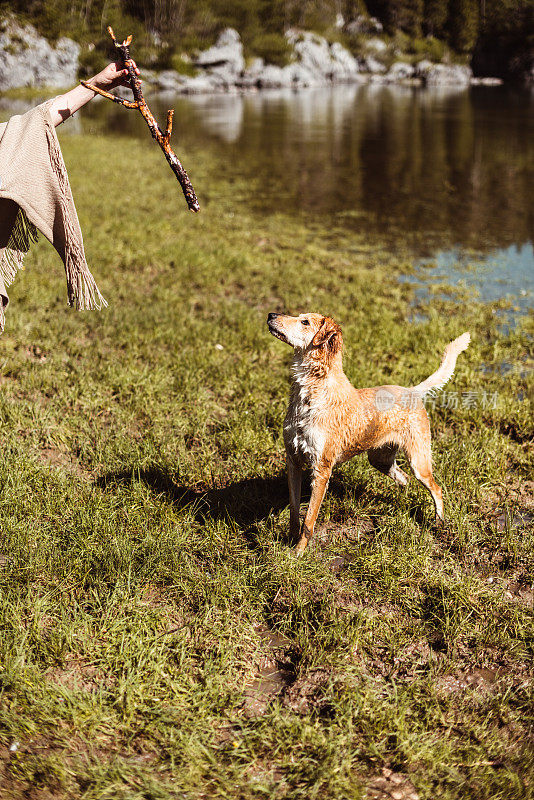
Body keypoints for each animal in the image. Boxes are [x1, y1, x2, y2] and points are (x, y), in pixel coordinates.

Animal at [270, 310, 472, 552]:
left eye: (304, 322)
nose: (271, 314)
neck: (311, 393)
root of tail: (413, 391)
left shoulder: (322, 469)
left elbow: (309, 520)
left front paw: (299, 552)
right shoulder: (293, 460)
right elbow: (294, 512)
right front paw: (289, 543)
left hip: (419, 461)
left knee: (436, 489)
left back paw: (439, 522)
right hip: (380, 460)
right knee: (403, 479)